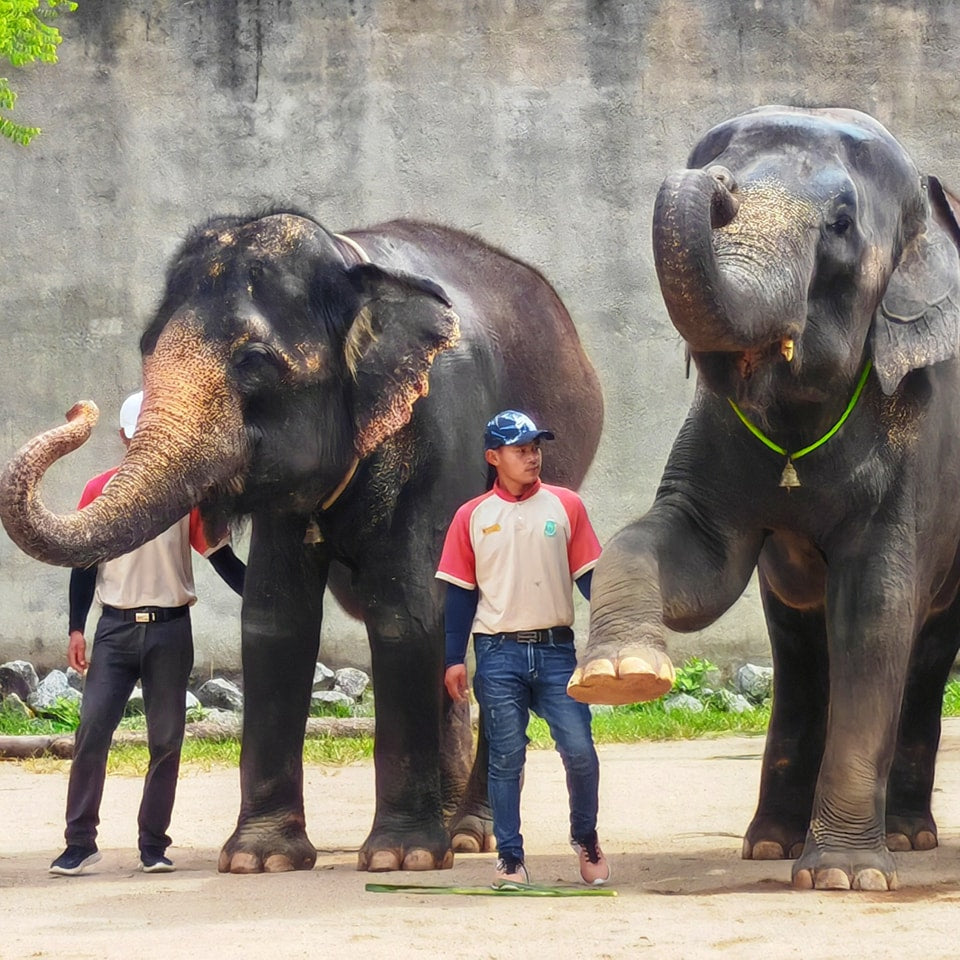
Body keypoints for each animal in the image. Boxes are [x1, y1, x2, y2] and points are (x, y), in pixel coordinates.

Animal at [0, 212, 603, 873]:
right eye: (147, 347)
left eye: (254, 360)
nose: (79, 409)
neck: (348, 261)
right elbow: (274, 620)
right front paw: (259, 861)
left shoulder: (439, 437)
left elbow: (407, 614)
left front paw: (400, 859)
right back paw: (453, 831)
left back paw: (466, 836)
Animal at [566, 106, 960, 891]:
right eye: (724, 174)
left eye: (841, 223)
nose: (715, 185)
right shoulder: (717, 429)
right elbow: (701, 564)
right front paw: (619, 676)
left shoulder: (920, 434)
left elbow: (876, 609)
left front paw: (843, 877)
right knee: (802, 646)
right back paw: (777, 844)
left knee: (923, 646)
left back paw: (902, 840)